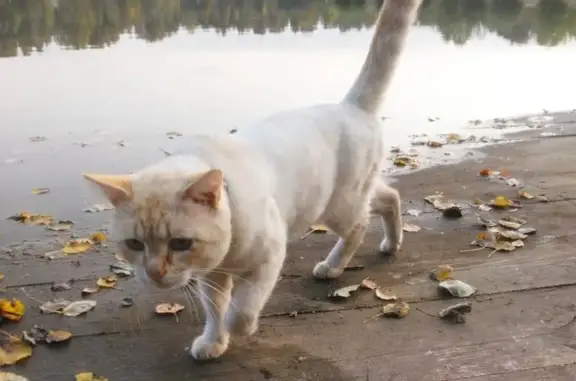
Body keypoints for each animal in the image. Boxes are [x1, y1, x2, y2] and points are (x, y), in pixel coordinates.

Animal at [82, 0, 424, 360]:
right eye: (134, 244)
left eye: (180, 243)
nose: (154, 273)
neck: (227, 254)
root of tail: (350, 106)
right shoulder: (212, 277)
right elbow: (215, 311)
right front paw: (213, 342)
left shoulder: (268, 258)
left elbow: (241, 309)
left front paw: (238, 329)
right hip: (353, 196)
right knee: (389, 197)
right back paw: (392, 243)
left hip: (338, 207)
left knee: (359, 226)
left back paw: (332, 266)